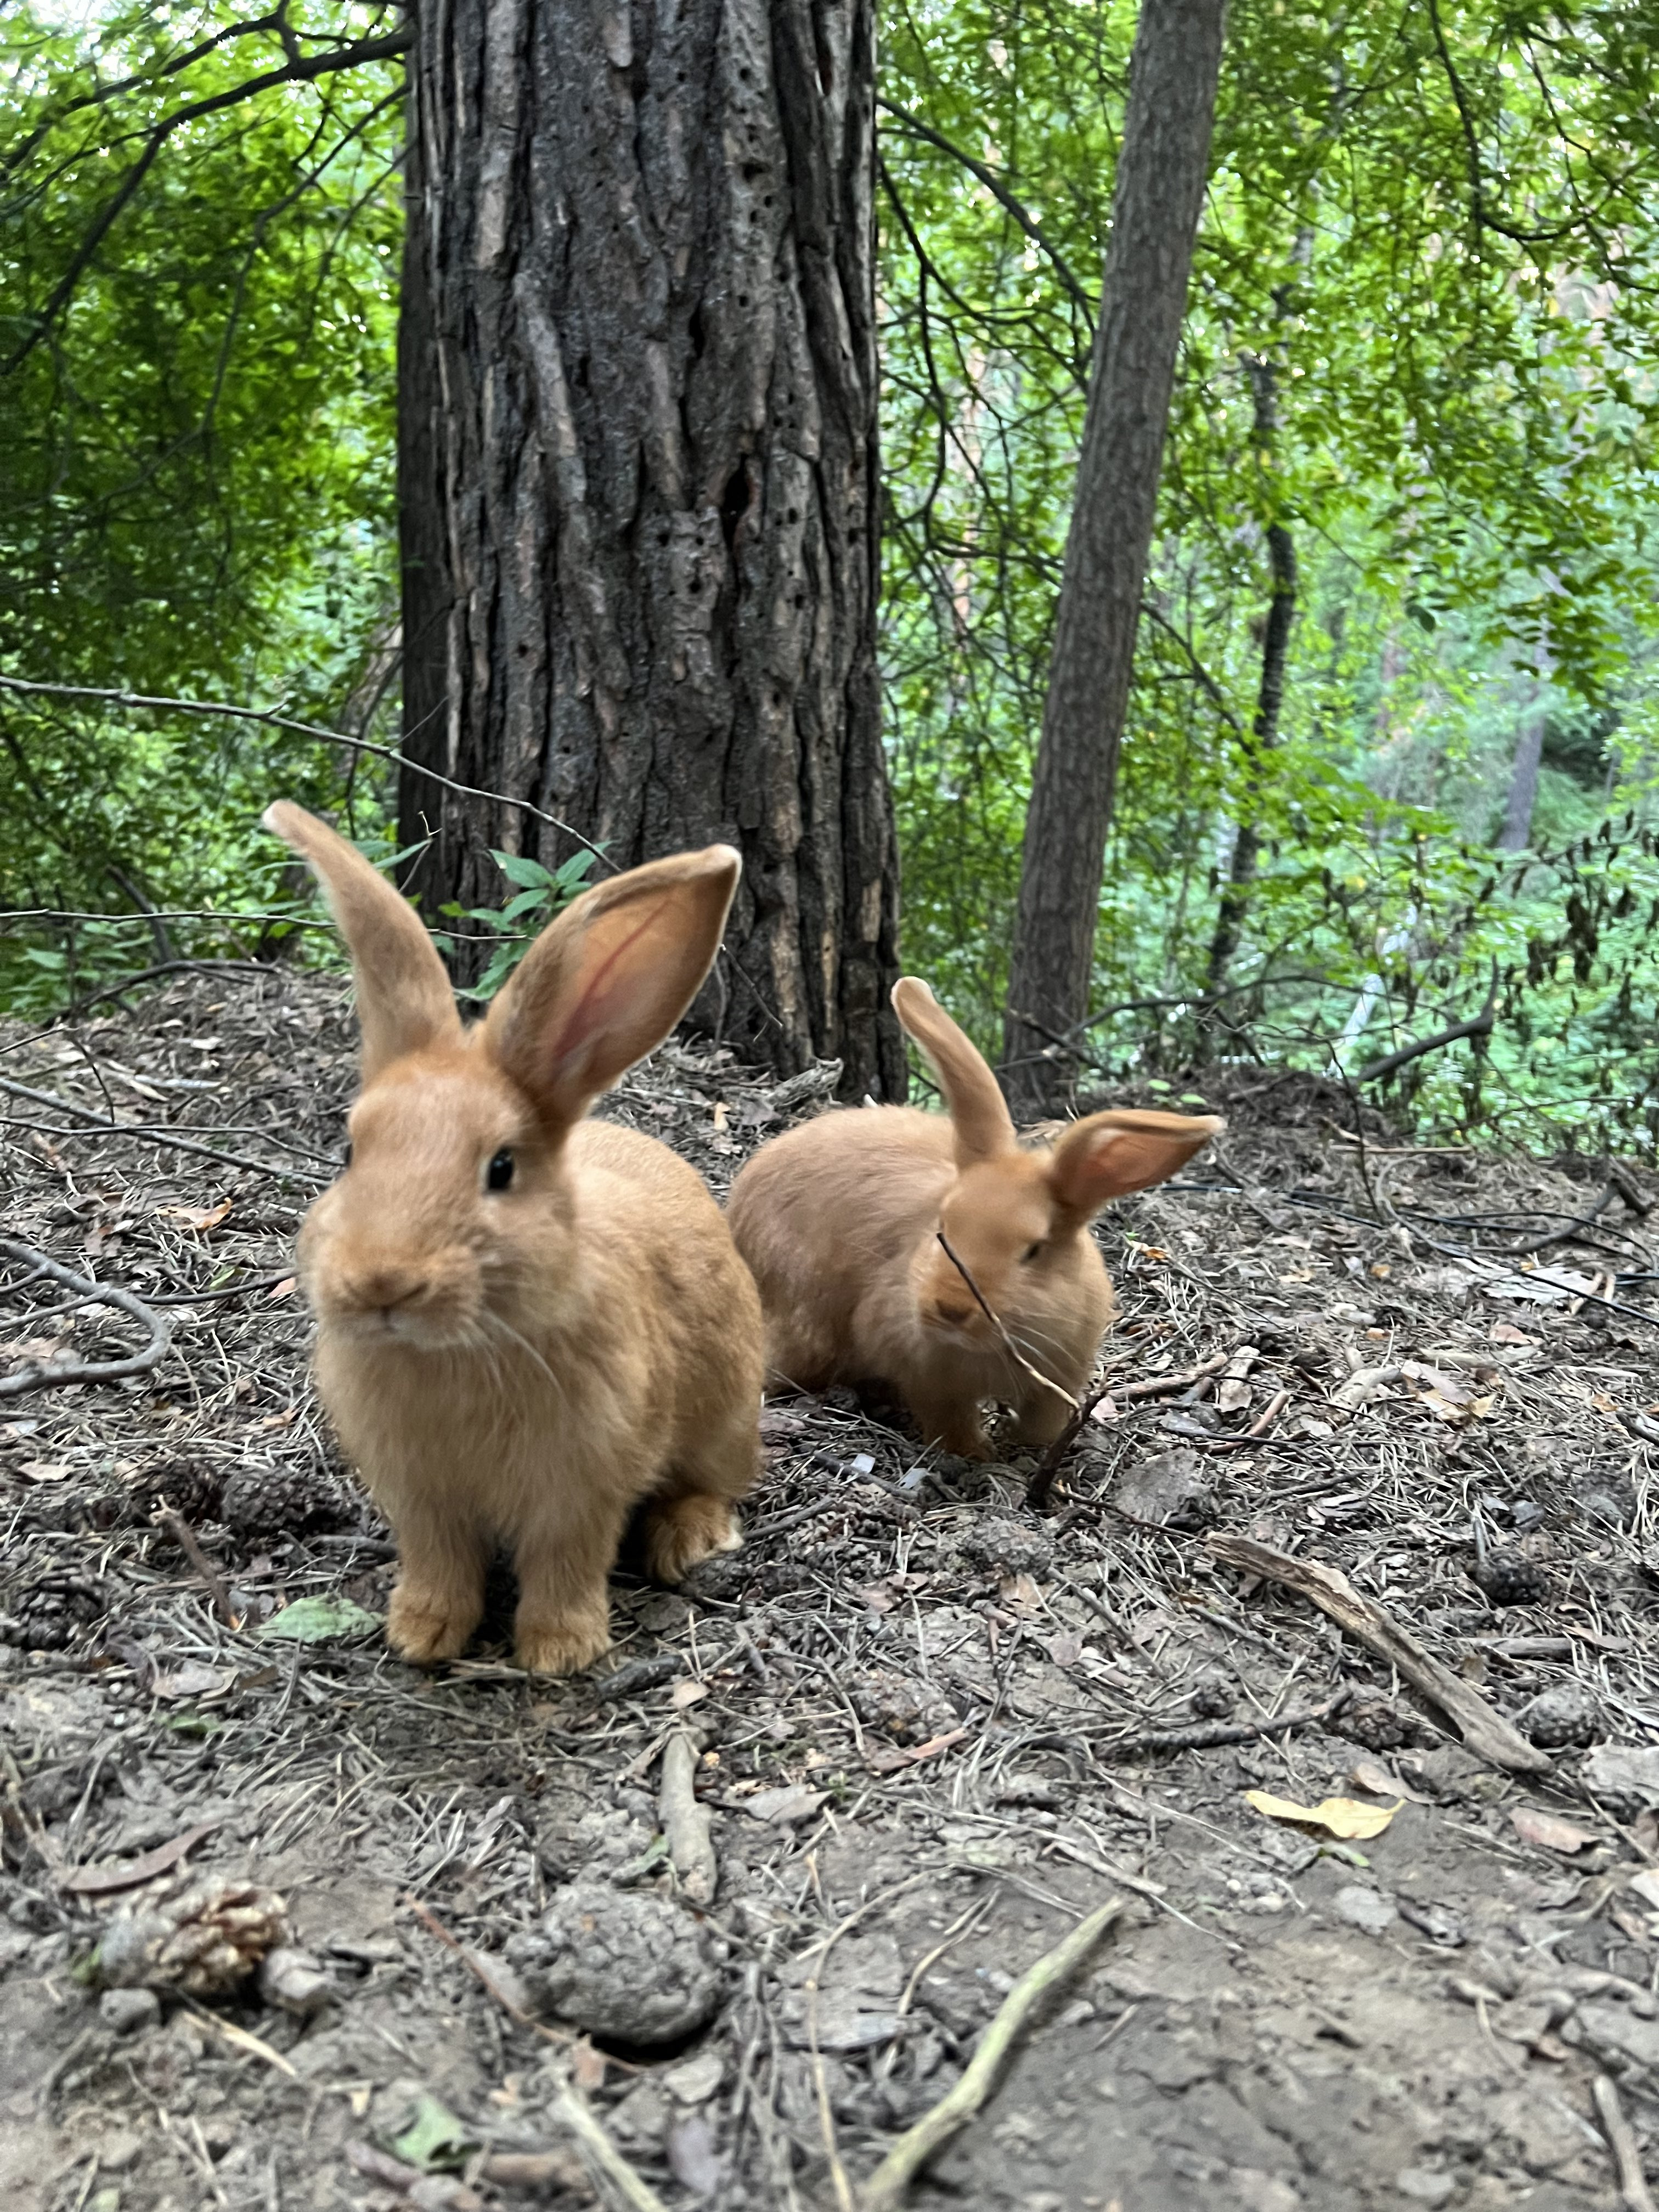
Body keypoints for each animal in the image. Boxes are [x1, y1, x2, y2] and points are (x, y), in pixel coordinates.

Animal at [264, 809, 765, 1672]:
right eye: (349, 1152)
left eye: (501, 1168)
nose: (382, 1282)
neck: (458, 1351)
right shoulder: (420, 1497)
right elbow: (439, 1559)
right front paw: (421, 1634)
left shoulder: (583, 1486)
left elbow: (567, 1560)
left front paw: (560, 1652)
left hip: (728, 1415)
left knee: (717, 1481)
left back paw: (689, 1538)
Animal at [734, 978, 1229, 1460]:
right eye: (942, 1228)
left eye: (1034, 1250)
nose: (950, 1308)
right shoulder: (928, 1379)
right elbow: (948, 1423)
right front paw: (979, 1457)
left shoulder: (1060, 1380)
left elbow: (1041, 1421)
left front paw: (1027, 1448)